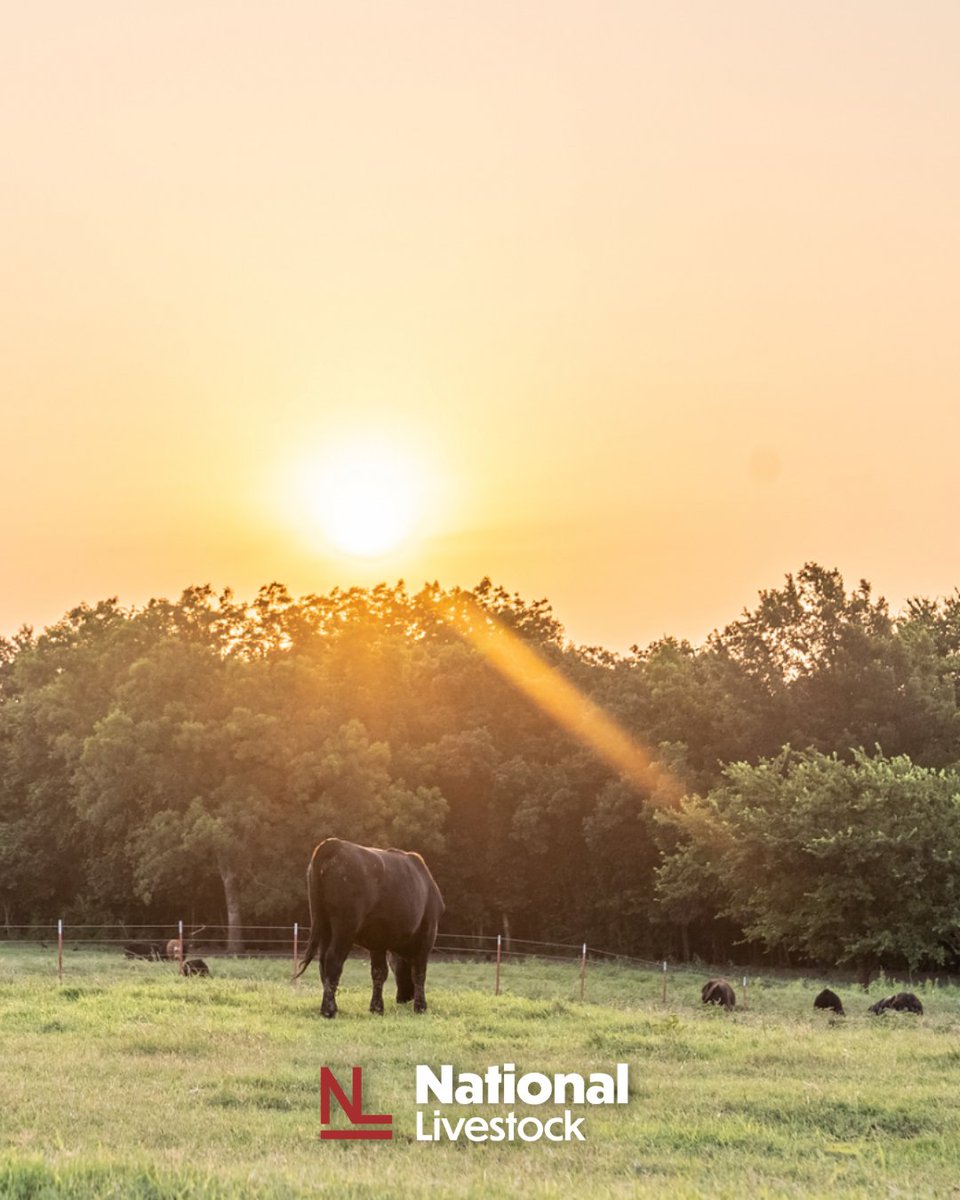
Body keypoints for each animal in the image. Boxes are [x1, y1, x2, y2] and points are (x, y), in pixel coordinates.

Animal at [293, 837, 445, 1019]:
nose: (403, 998)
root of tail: (334, 844)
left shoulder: (378, 941)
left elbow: (379, 972)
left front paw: (377, 1008)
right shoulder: (428, 933)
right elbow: (419, 972)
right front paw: (420, 1007)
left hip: (322, 925)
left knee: (323, 963)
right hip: (344, 927)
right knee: (333, 960)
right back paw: (329, 1010)